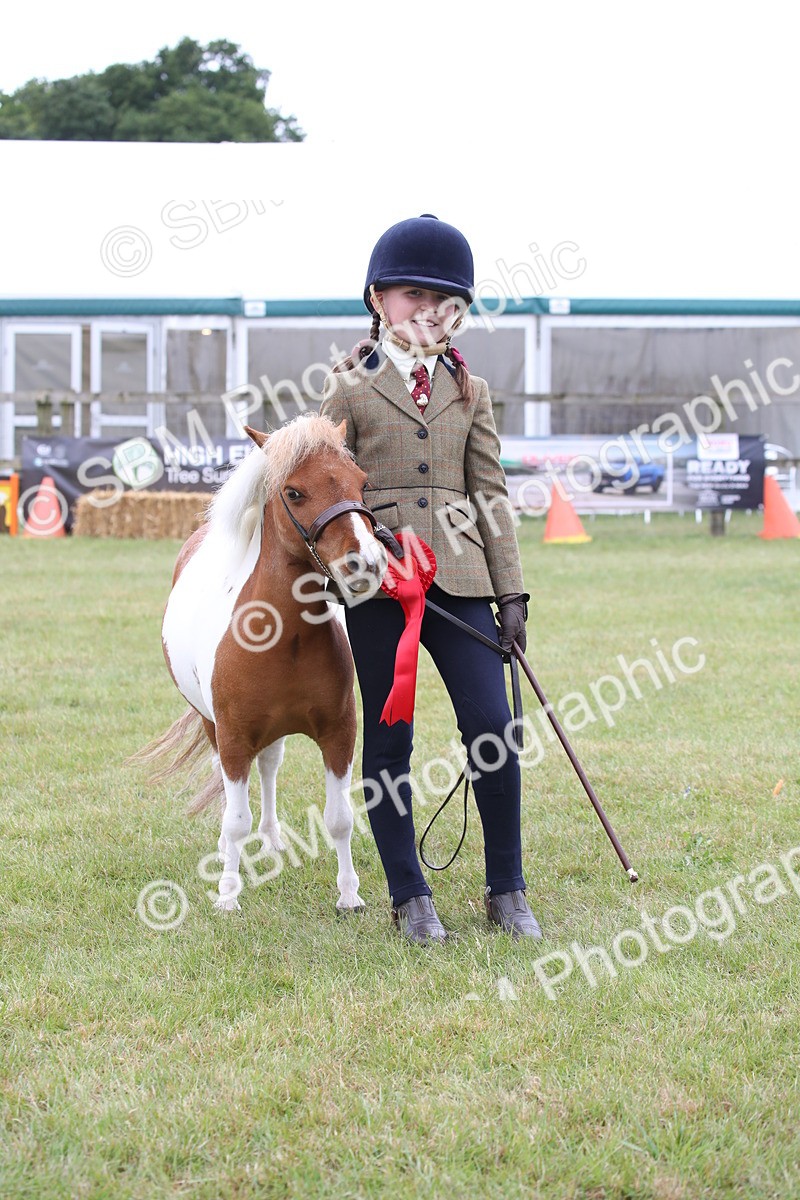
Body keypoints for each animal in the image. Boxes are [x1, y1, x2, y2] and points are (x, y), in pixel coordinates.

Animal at [134, 413, 387, 912]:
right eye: (294, 492)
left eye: (363, 483)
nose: (365, 564)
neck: (283, 637)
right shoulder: (233, 737)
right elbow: (235, 819)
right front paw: (227, 895)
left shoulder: (339, 732)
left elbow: (340, 817)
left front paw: (349, 895)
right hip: (212, 725)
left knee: (269, 767)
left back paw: (272, 839)